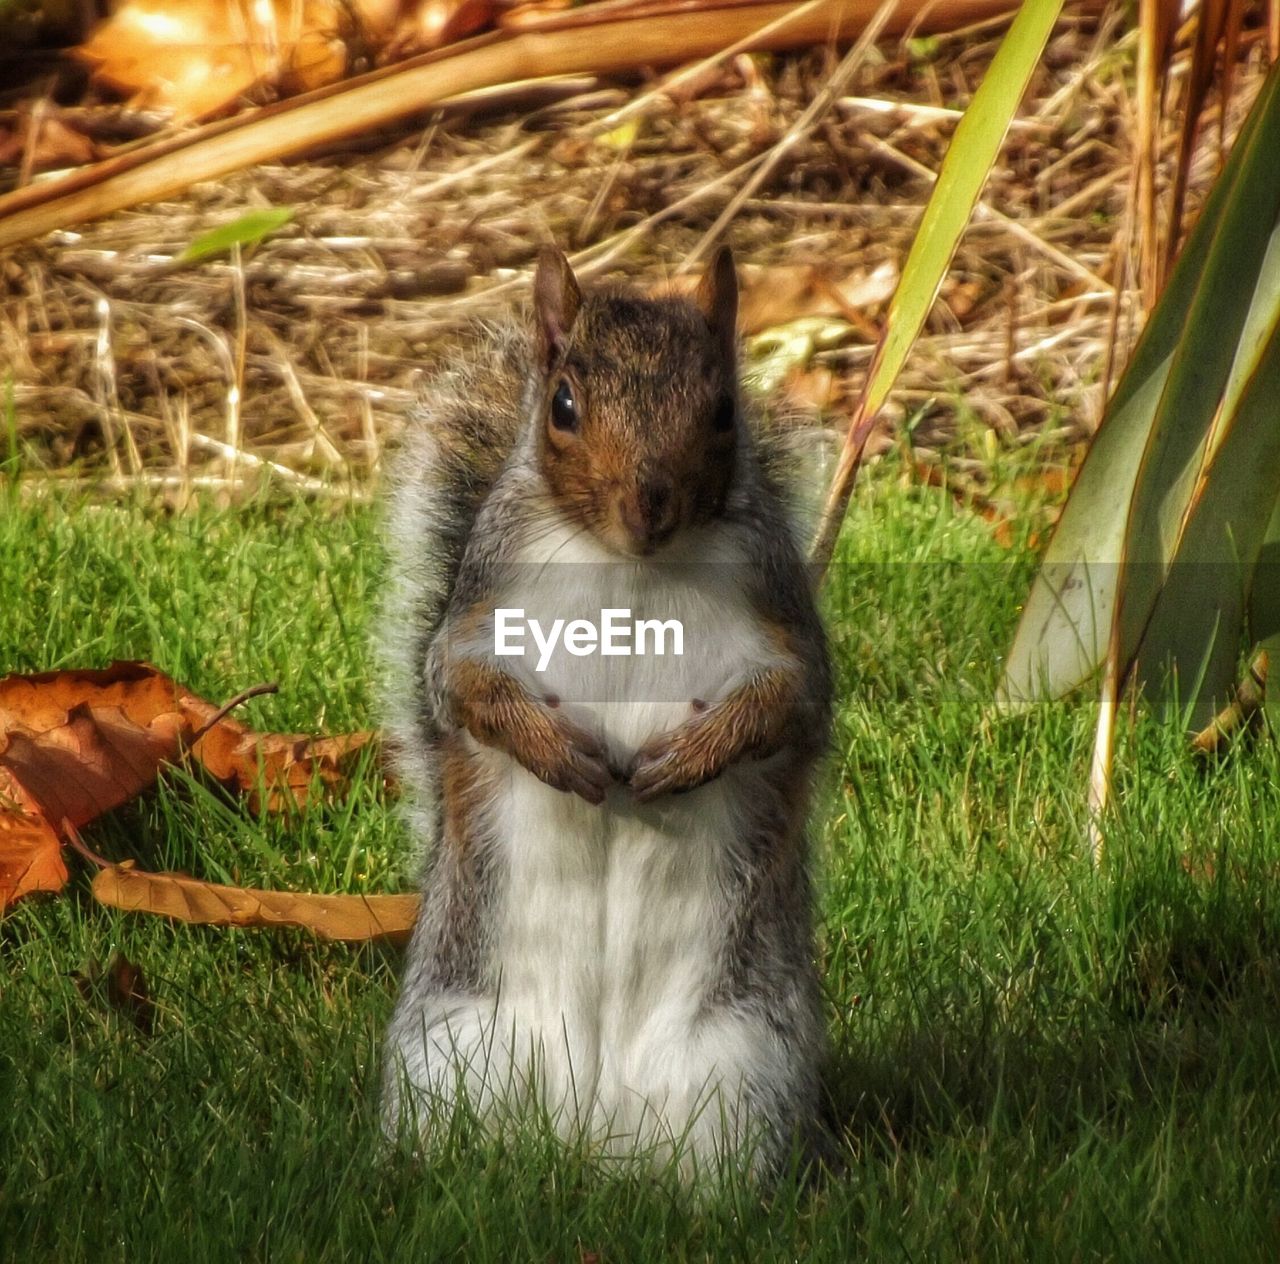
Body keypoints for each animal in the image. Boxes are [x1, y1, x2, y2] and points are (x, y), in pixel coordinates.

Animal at [376, 244, 839, 1177]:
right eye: (563, 406)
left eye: (724, 411)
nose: (648, 504)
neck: (630, 567)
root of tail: (587, 1134)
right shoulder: (479, 609)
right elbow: (459, 687)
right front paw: (553, 751)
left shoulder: (785, 623)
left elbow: (788, 703)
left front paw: (691, 758)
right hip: (451, 1056)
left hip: (738, 1074)